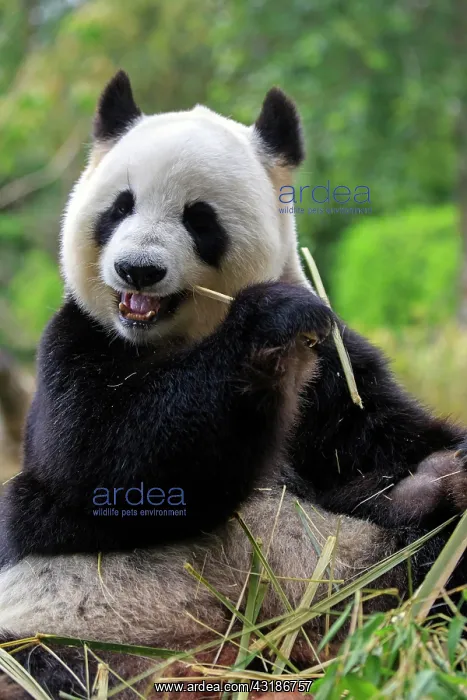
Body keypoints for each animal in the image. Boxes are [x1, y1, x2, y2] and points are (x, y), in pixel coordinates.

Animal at [0, 71, 465, 699]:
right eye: (120, 206)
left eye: (200, 218)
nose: (137, 270)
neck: (175, 341)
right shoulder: (79, 341)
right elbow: (95, 466)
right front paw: (266, 322)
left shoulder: (331, 370)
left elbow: (384, 438)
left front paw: (445, 466)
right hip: (63, 627)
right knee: (46, 665)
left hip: (349, 579)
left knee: (421, 564)